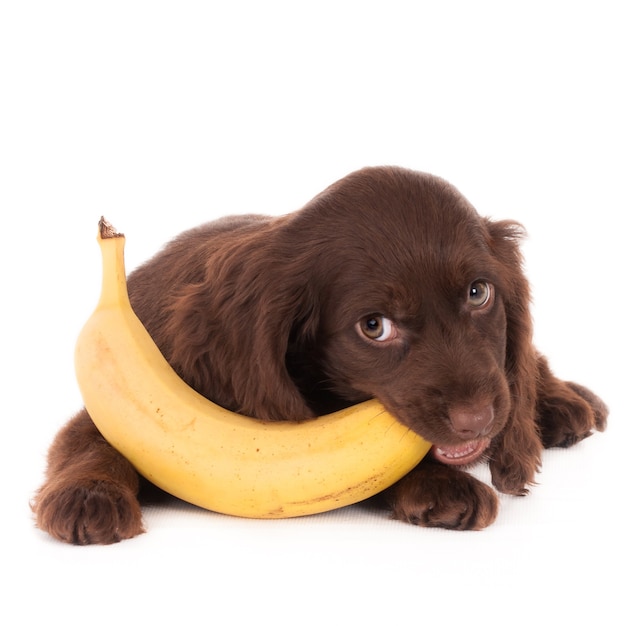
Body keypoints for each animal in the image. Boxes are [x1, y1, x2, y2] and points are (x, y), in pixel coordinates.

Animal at [31, 166, 608, 540]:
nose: (479, 420)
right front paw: (90, 495)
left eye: (478, 293)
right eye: (374, 326)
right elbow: (92, 445)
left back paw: (565, 404)